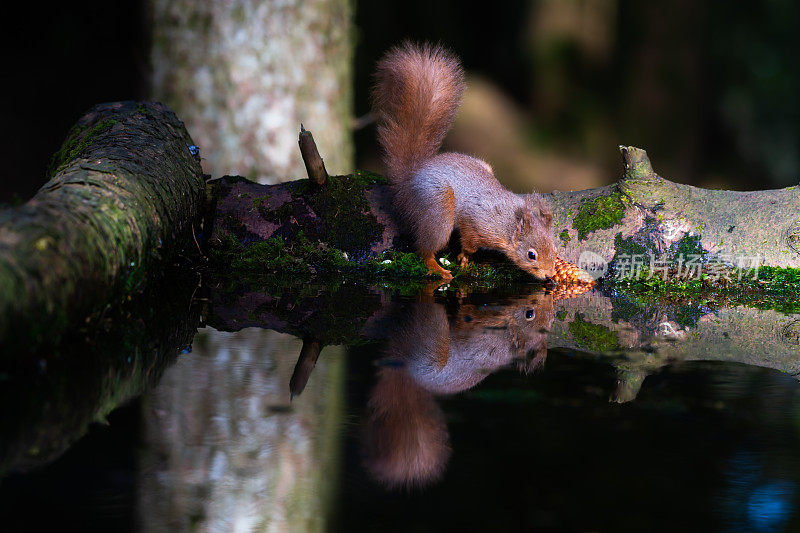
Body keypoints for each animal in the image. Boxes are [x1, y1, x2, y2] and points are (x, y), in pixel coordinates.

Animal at [370, 42, 552, 280]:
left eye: (554, 249)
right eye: (532, 255)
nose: (550, 276)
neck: (507, 223)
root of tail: (410, 177)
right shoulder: (477, 222)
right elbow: (469, 240)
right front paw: (465, 256)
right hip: (438, 206)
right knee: (424, 249)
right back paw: (437, 268)